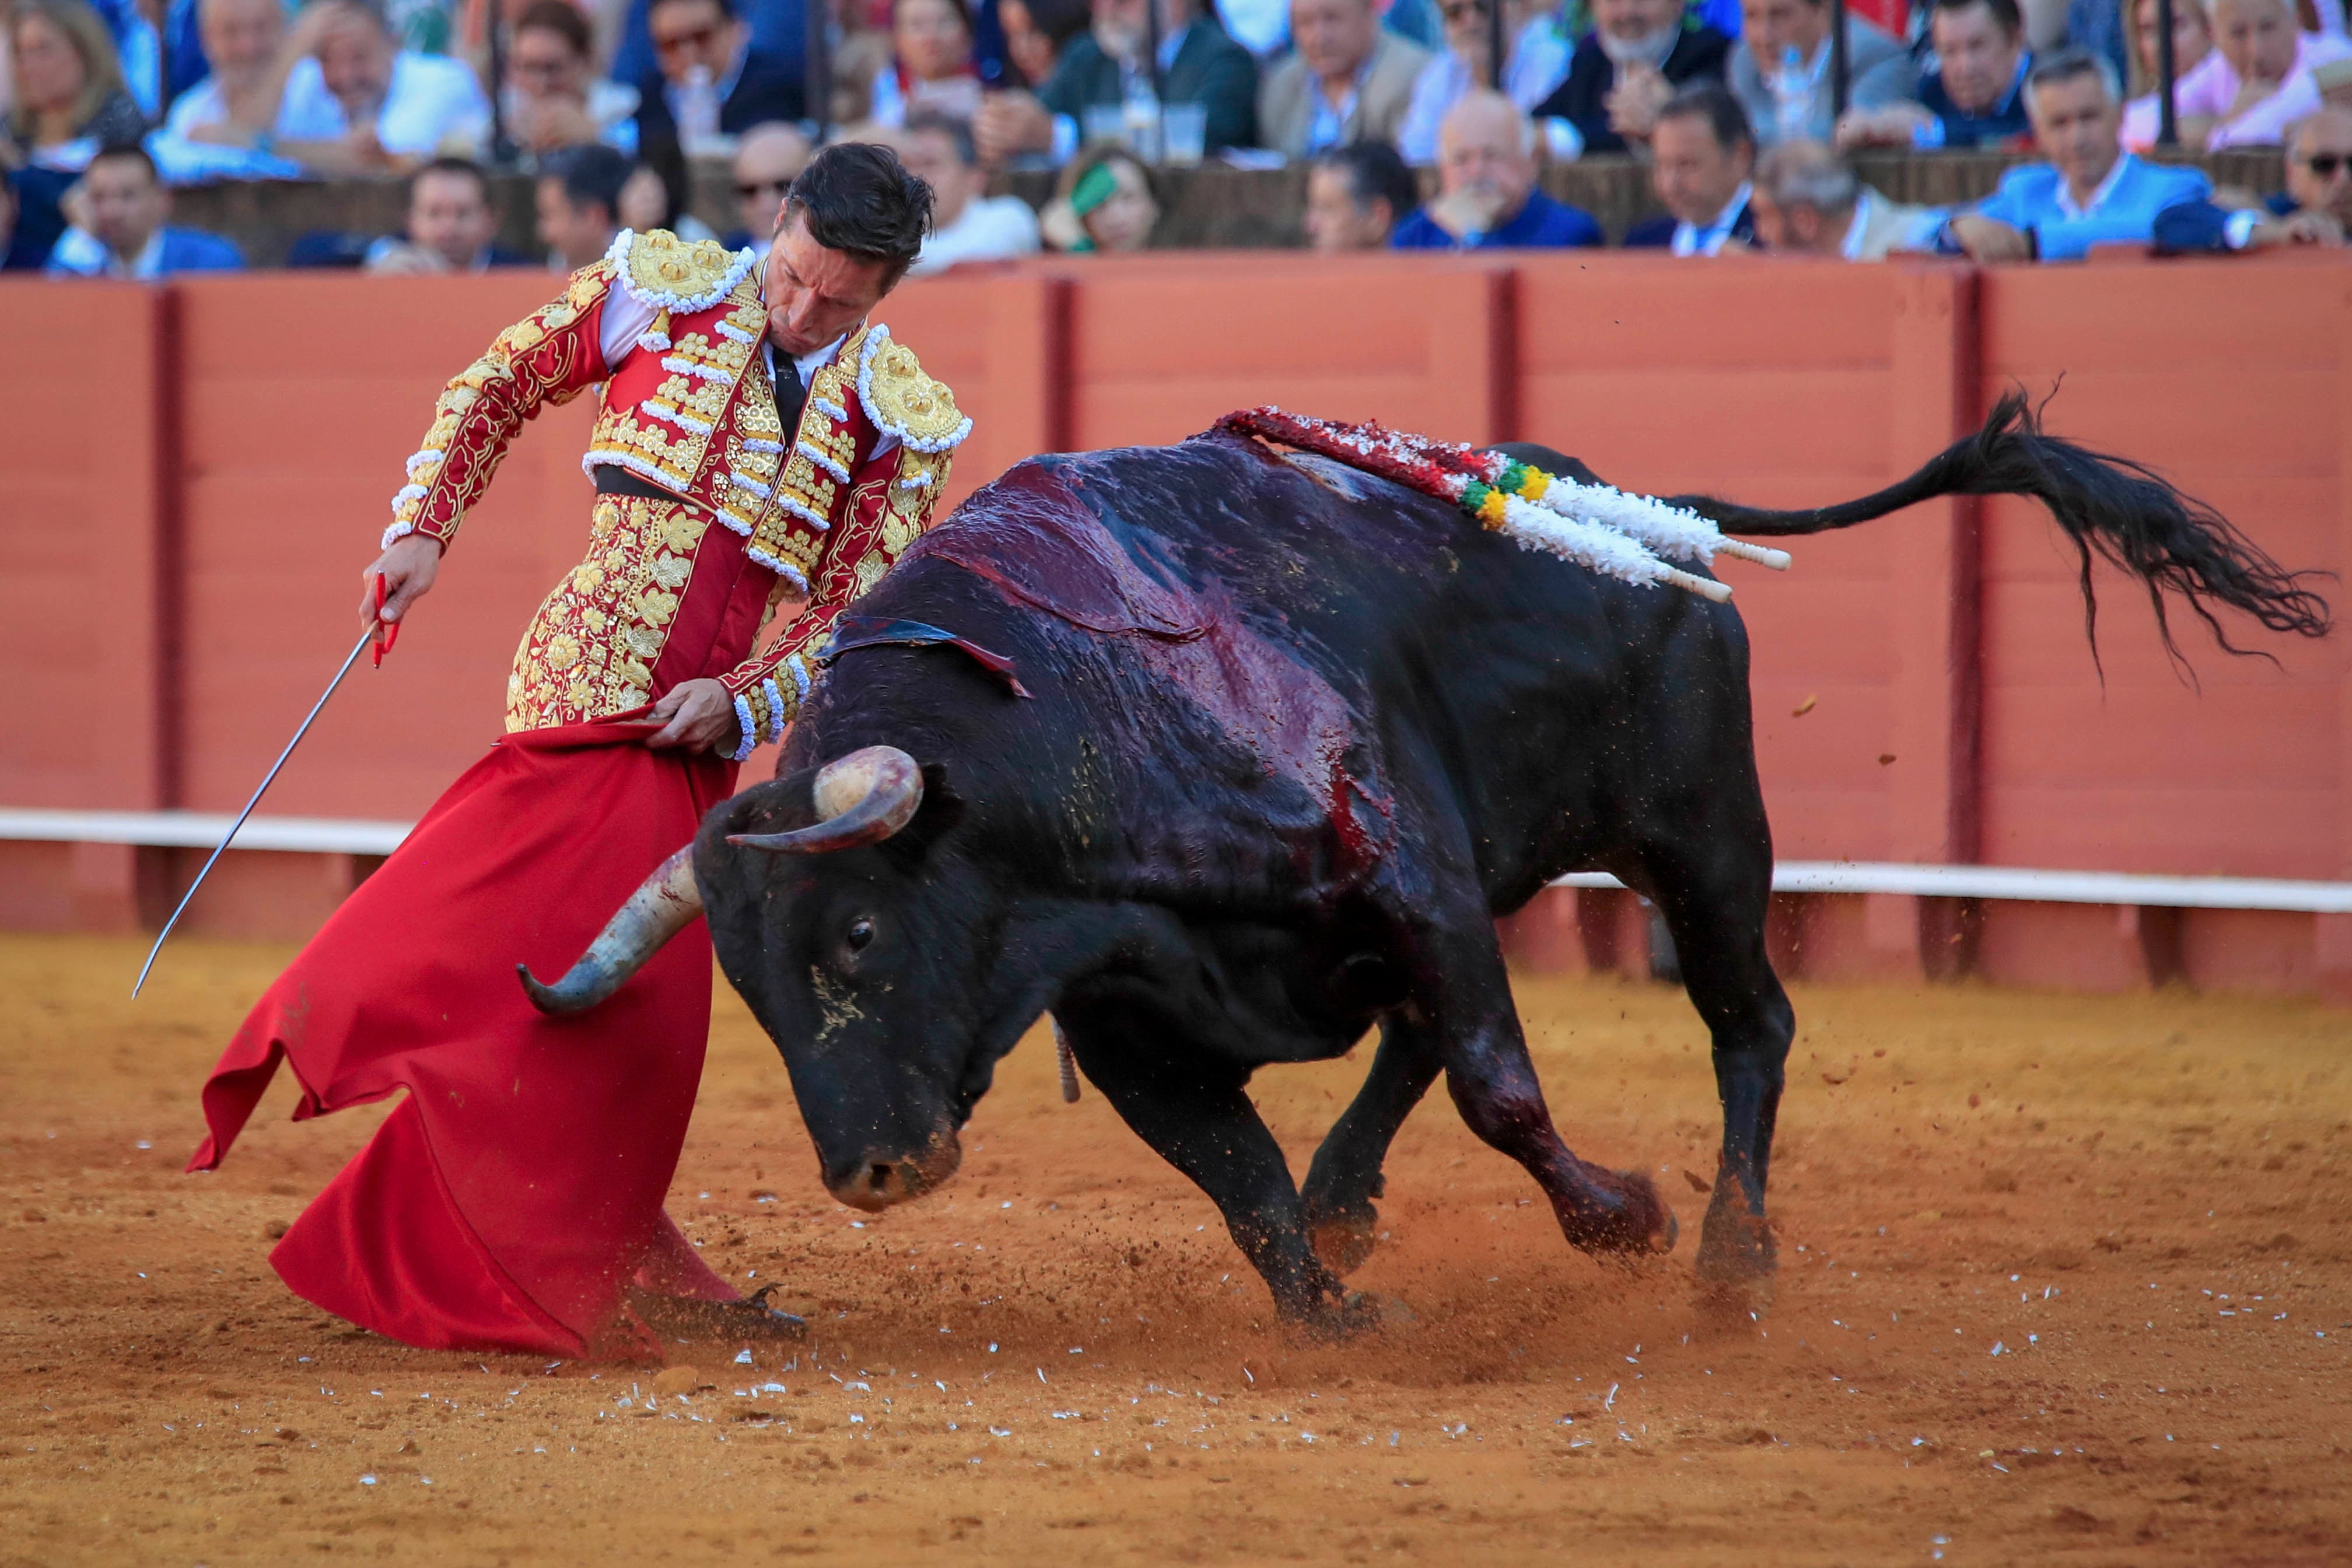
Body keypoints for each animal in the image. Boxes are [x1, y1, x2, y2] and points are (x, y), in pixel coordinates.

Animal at [524, 395, 2323, 1335]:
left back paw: (1730, 1261)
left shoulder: (1415, 881)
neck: (1069, 734)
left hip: (1702, 836)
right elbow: (1239, 1176)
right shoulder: (1135, 1020)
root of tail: (1653, 517)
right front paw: (1330, 1309)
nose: (873, 1175)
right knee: (1404, 1050)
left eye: (857, 940)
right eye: (749, 994)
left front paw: (1622, 1220)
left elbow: (1500, 1089)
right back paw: (1360, 1201)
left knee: (1746, 1023)